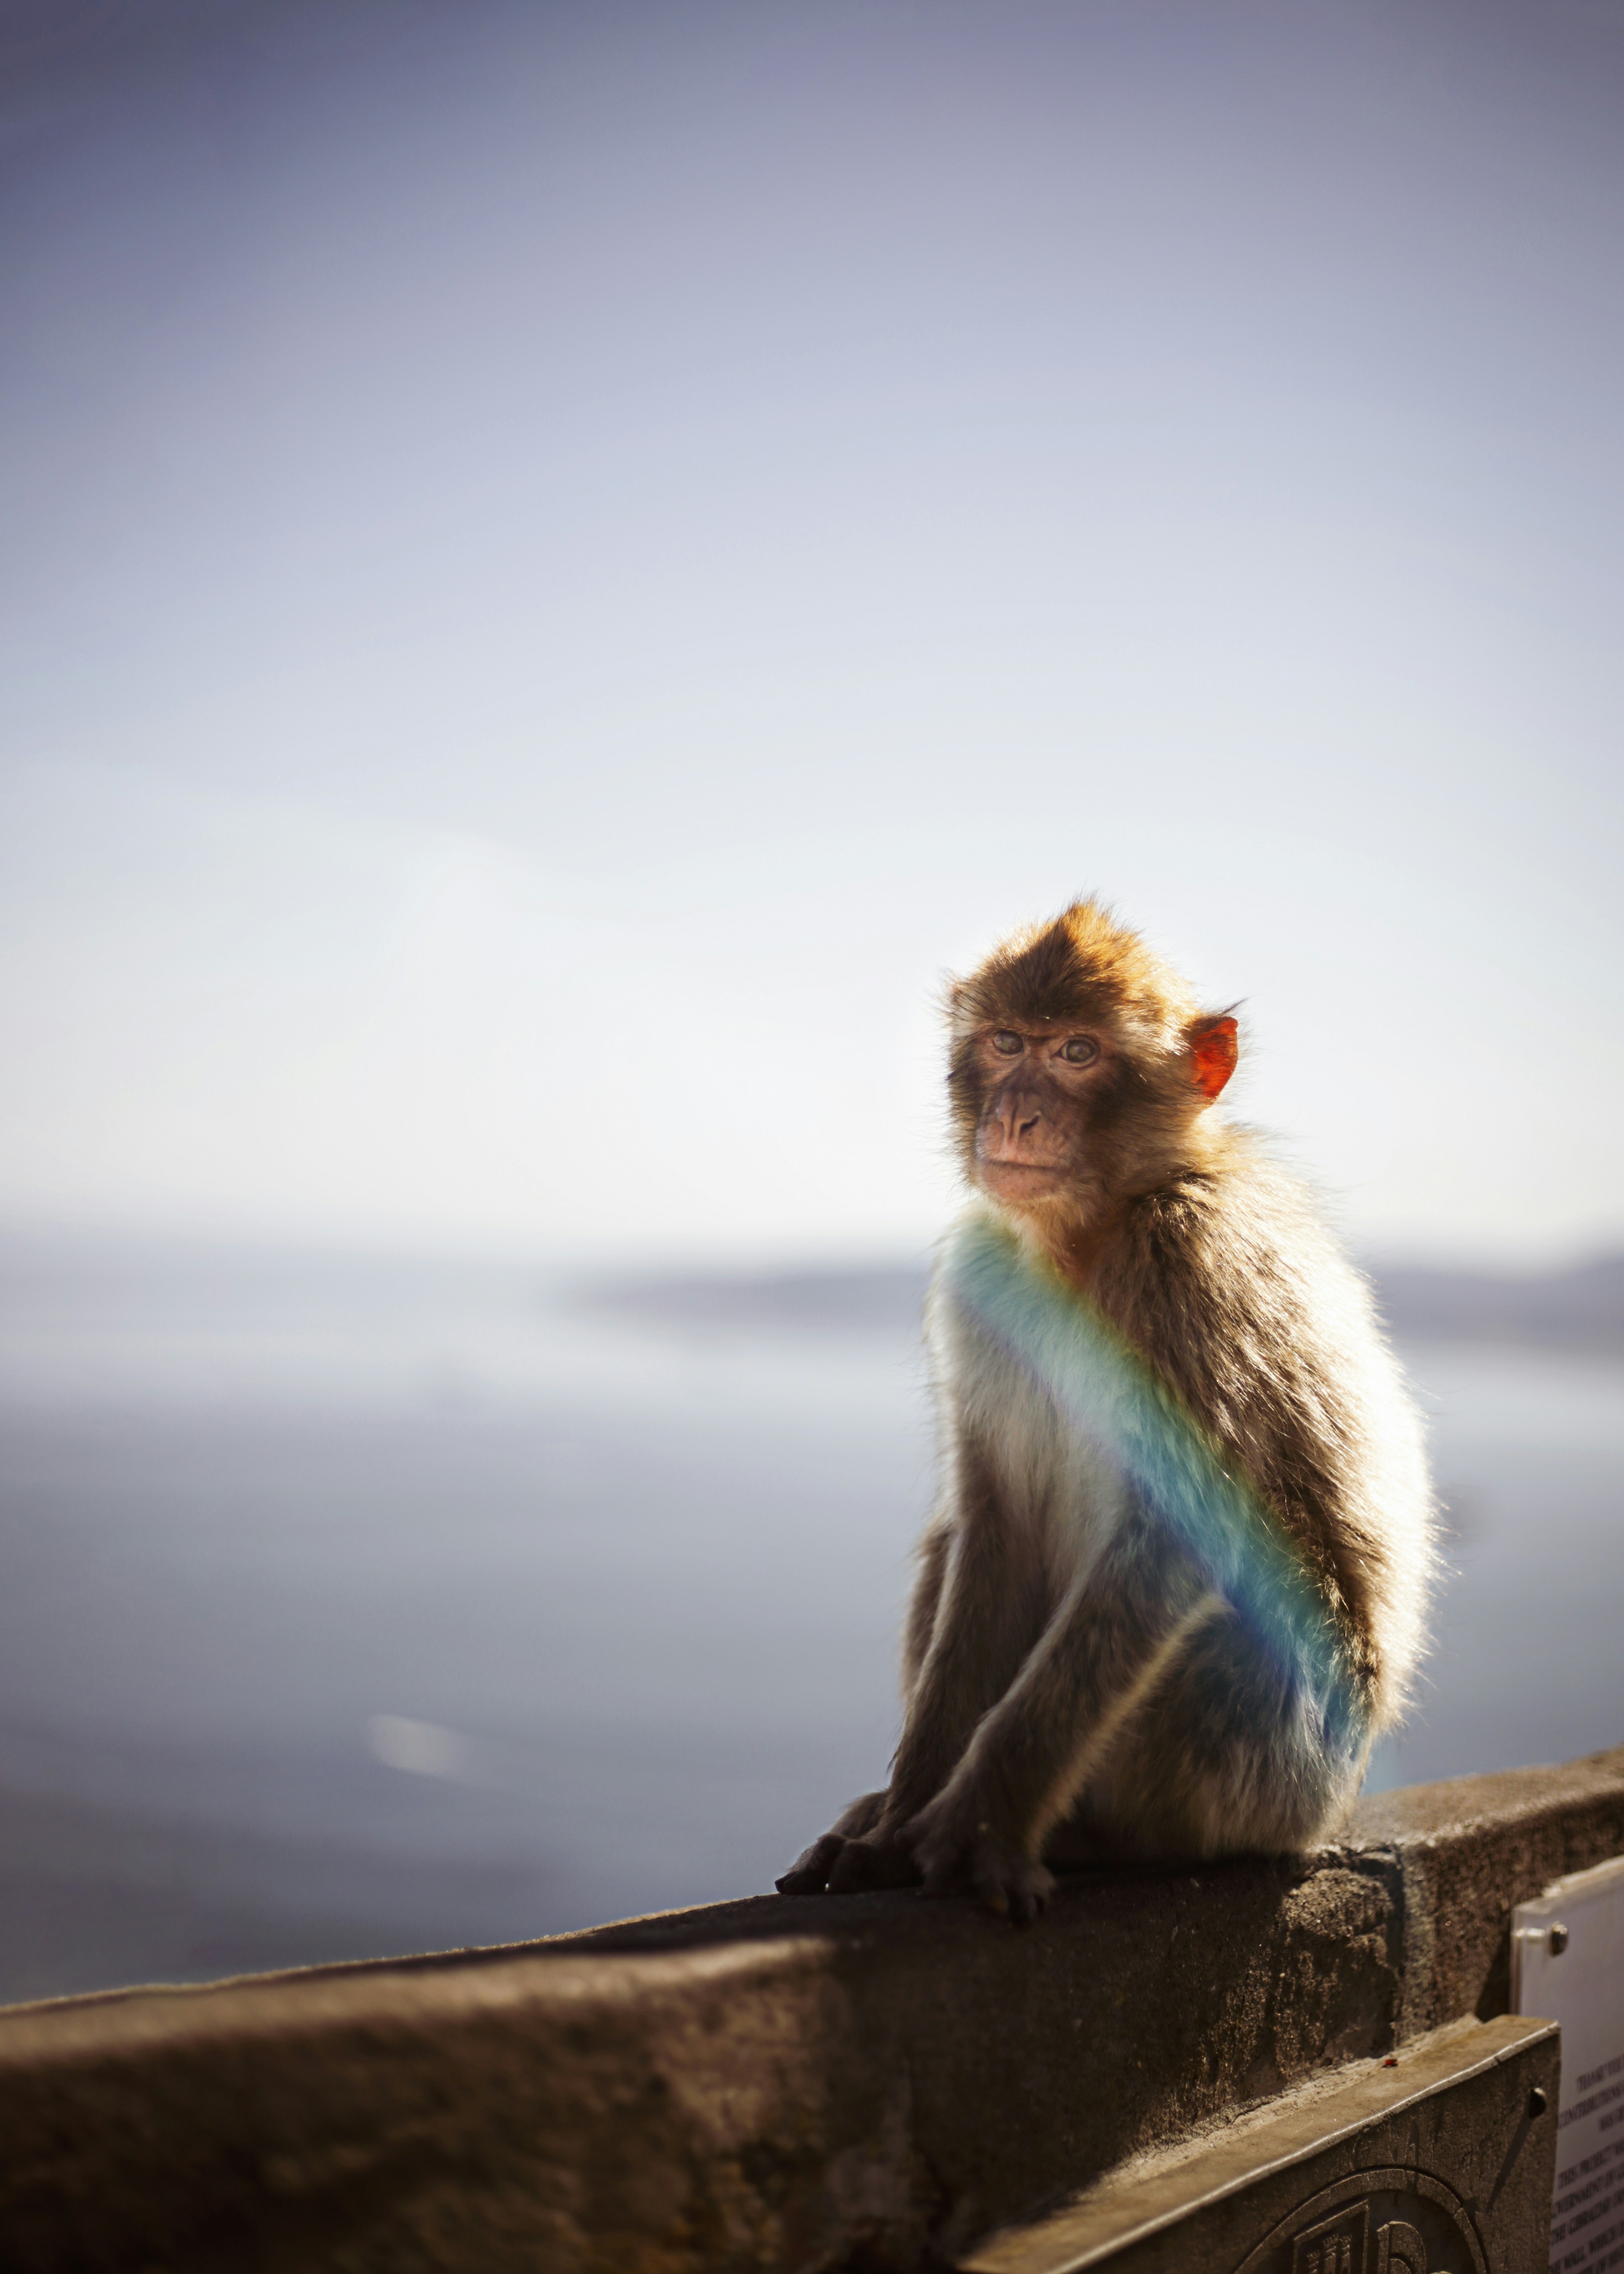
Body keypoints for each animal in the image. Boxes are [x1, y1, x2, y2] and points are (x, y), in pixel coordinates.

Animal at [778, 898, 1433, 1922]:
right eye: (1009, 1042)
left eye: (1079, 1052)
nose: (1017, 1111)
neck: (1084, 1236)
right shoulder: (982, 1275)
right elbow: (991, 1522)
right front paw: (899, 1823)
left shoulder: (1192, 1263)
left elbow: (1181, 1532)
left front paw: (977, 1829)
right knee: (956, 1539)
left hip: (1280, 1769)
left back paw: (1093, 1842)